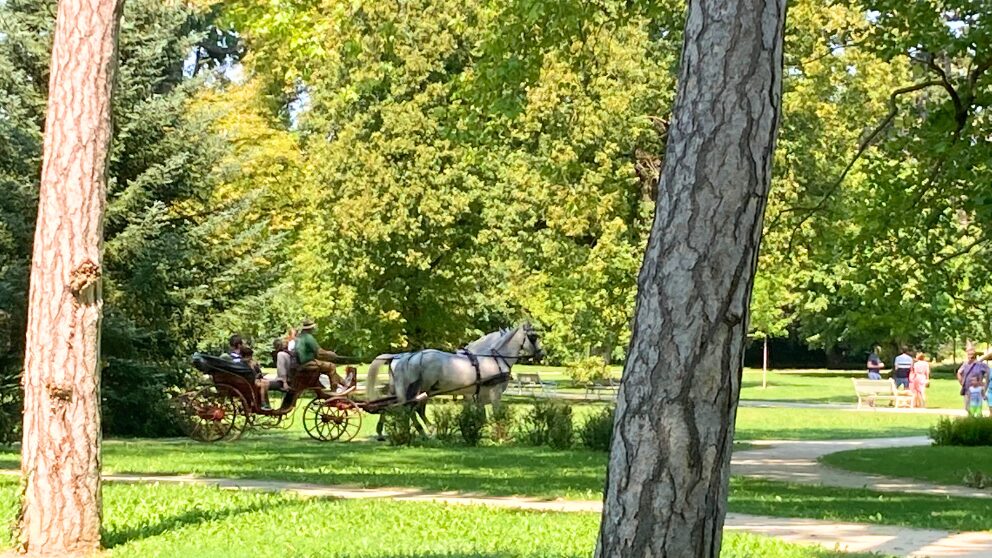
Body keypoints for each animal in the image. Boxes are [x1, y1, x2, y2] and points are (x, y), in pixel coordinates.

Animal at [370, 324, 548, 406]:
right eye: (533, 337)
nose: (542, 353)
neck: (494, 359)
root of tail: (406, 357)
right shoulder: (493, 393)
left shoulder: (474, 395)